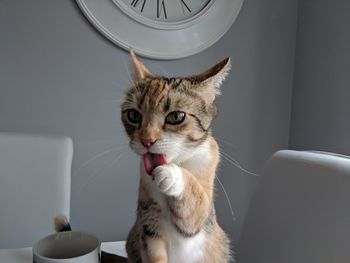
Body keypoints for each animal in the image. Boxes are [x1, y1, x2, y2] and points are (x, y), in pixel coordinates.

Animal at [121, 51, 234, 263]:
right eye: (133, 115)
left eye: (176, 117)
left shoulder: (203, 211)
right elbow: (154, 254)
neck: (178, 160)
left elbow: (196, 202)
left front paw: (172, 176)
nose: (147, 140)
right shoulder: (149, 225)